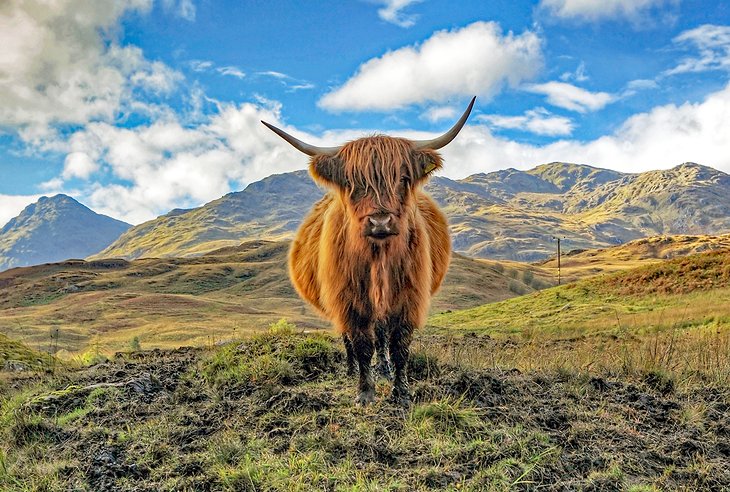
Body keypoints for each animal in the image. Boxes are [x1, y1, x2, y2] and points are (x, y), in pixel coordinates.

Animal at [258, 98, 474, 406]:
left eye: (403, 178)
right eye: (352, 182)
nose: (380, 221)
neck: (378, 258)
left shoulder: (408, 299)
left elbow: (399, 346)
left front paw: (401, 393)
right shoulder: (347, 300)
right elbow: (360, 344)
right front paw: (364, 392)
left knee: (381, 335)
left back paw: (383, 370)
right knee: (349, 338)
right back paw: (351, 370)